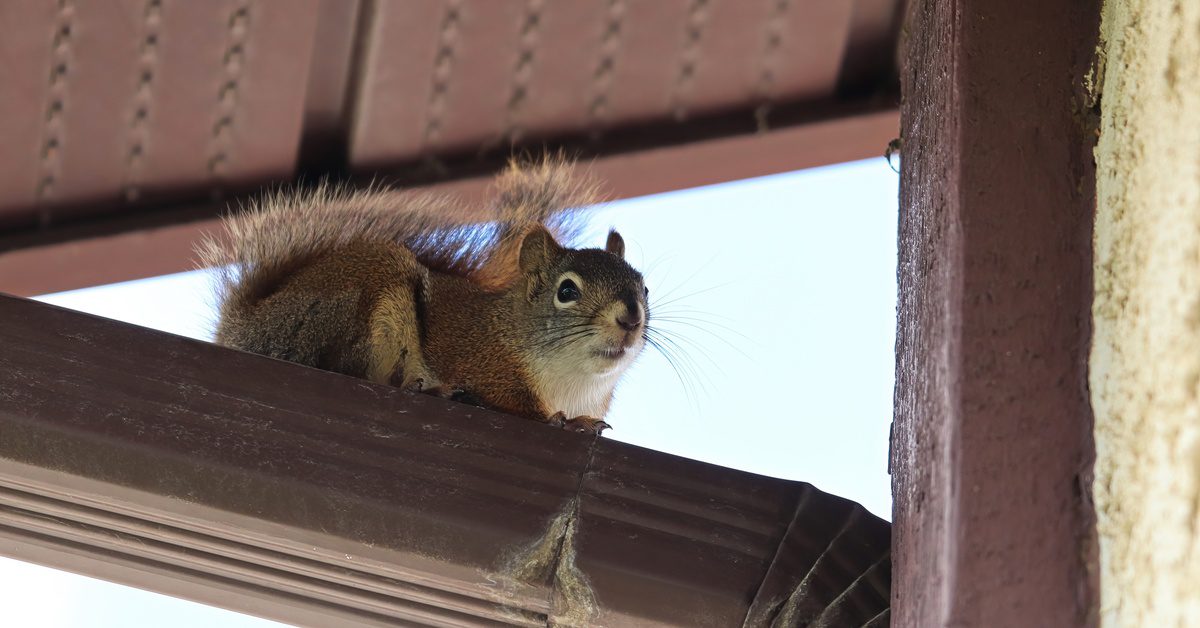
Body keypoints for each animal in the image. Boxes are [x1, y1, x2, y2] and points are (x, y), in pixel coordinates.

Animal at [198, 158, 648, 434]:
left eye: (643, 287)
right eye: (566, 290)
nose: (631, 317)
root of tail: (247, 328)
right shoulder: (486, 364)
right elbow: (515, 403)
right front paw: (566, 422)